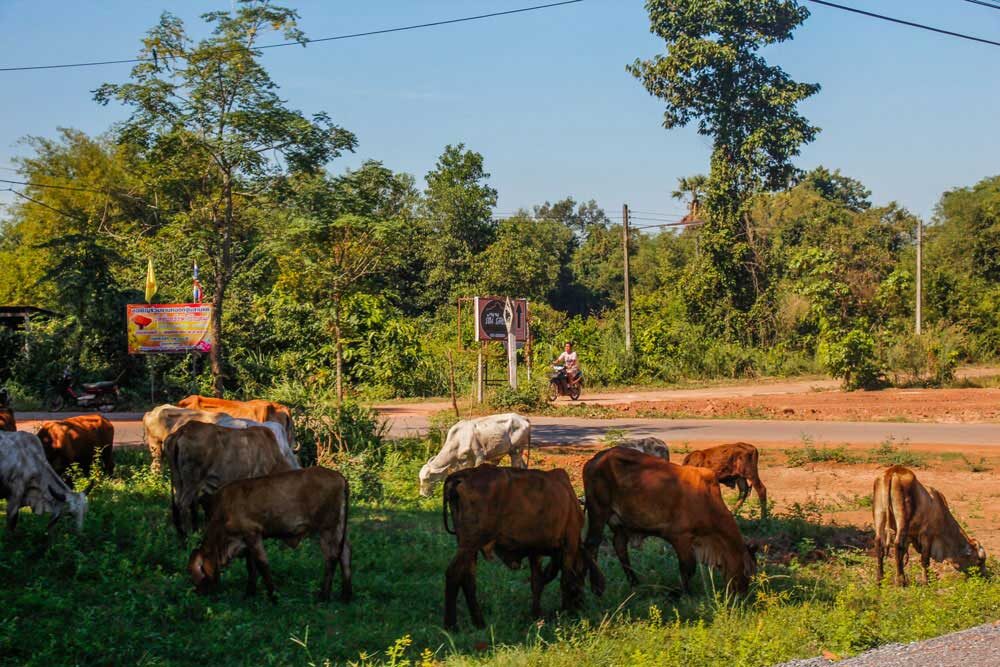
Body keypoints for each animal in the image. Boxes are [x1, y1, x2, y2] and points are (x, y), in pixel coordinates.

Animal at [164, 420, 294, 540]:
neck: (275, 459)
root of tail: (183, 430)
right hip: (192, 482)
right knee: (183, 505)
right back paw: (188, 538)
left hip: (178, 480)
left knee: (182, 504)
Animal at [188, 468, 352, 604]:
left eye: (198, 573)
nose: (197, 593)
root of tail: (339, 477)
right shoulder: (246, 541)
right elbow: (251, 567)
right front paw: (249, 594)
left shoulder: (253, 533)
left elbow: (262, 565)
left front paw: (274, 597)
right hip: (339, 528)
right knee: (345, 553)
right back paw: (346, 596)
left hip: (326, 529)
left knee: (331, 557)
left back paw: (324, 596)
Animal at [440, 464, 600, 632]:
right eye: (583, 573)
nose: (580, 604)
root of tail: (461, 476)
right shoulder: (570, 542)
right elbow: (566, 580)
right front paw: (566, 614)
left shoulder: (535, 551)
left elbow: (537, 582)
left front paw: (537, 614)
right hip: (471, 543)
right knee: (453, 574)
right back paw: (451, 625)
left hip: (468, 545)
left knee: (468, 579)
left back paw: (479, 622)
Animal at [584, 448, 752, 596]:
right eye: (747, 572)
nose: (743, 594)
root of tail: (595, 459)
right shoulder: (680, 537)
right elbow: (688, 568)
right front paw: (682, 593)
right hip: (598, 511)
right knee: (592, 544)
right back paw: (596, 588)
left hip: (620, 524)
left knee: (619, 546)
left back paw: (635, 583)